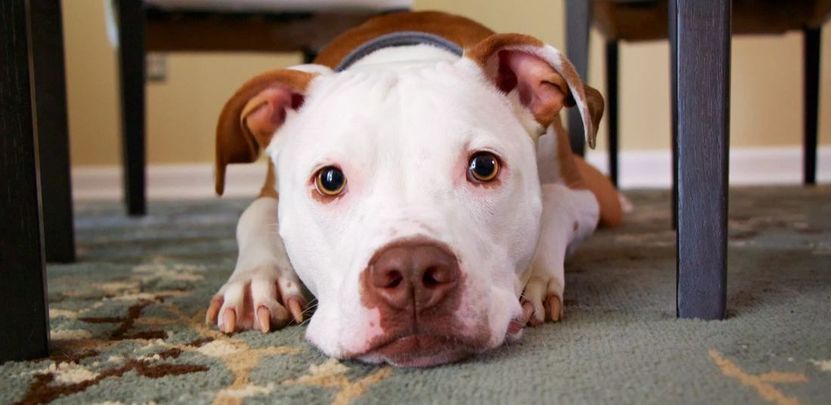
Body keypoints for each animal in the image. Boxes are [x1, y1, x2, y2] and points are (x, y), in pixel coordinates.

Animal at [208, 10, 624, 366]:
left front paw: (535, 275)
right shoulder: (269, 193)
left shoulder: (583, 197)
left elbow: (554, 201)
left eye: (484, 166)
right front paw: (256, 281)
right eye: (330, 180)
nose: (411, 271)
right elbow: (254, 214)